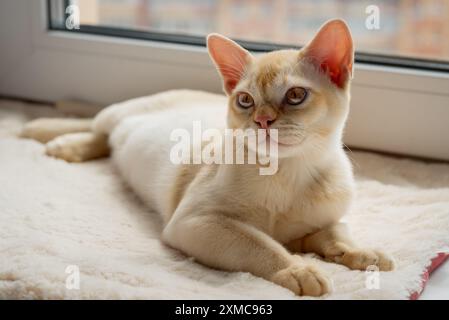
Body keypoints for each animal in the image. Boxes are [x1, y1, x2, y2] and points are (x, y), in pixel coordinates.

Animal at [21, 19, 392, 296]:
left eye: (296, 95)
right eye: (245, 100)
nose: (262, 120)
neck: (288, 172)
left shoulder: (320, 223)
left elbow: (336, 233)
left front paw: (365, 253)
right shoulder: (195, 222)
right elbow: (262, 244)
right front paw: (298, 269)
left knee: (107, 140)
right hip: (117, 115)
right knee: (97, 127)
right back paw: (59, 140)